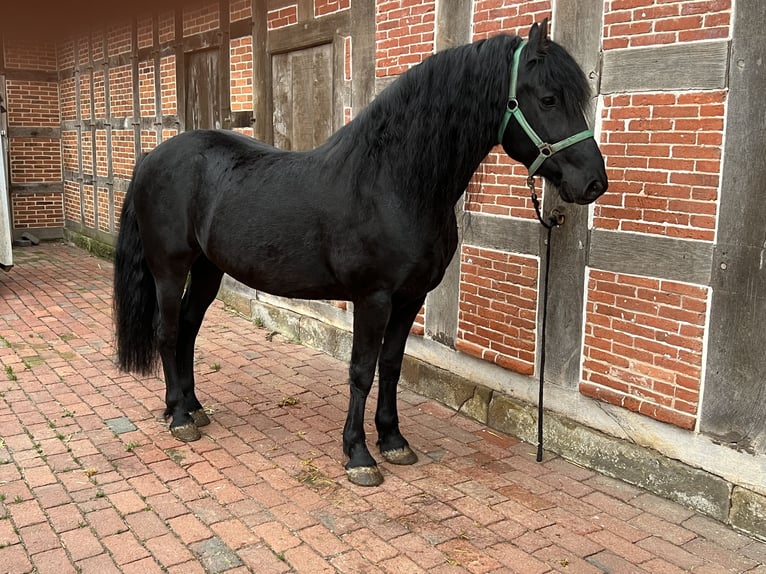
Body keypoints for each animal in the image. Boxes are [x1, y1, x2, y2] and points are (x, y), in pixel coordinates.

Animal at [114, 22, 608, 488]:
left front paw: (393, 440)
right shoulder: (373, 299)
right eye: (548, 98)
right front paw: (358, 455)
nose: (593, 183)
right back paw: (179, 416)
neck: (392, 184)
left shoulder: (411, 298)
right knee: (167, 331)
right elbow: (361, 371)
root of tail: (151, 158)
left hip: (208, 270)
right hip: (169, 268)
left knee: (188, 329)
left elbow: (391, 366)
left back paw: (193, 407)